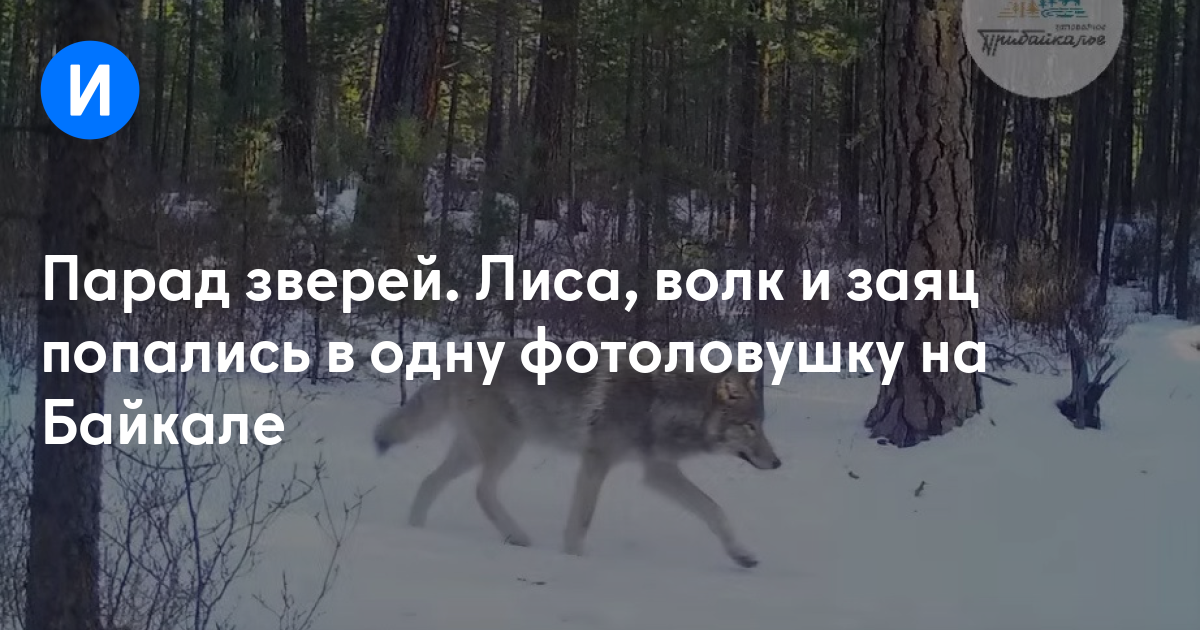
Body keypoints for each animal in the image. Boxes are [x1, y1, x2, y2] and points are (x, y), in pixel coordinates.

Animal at [372, 338, 782, 568]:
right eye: (750, 426)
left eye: (761, 425)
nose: (778, 463)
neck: (660, 401)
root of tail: (454, 355)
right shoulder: (596, 462)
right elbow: (581, 521)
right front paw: (574, 563)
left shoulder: (658, 471)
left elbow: (715, 511)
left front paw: (742, 555)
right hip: (505, 446)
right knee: (480, 490)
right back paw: (516, 536)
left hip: (476, 450)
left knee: (433, 481)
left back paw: (417, 530)